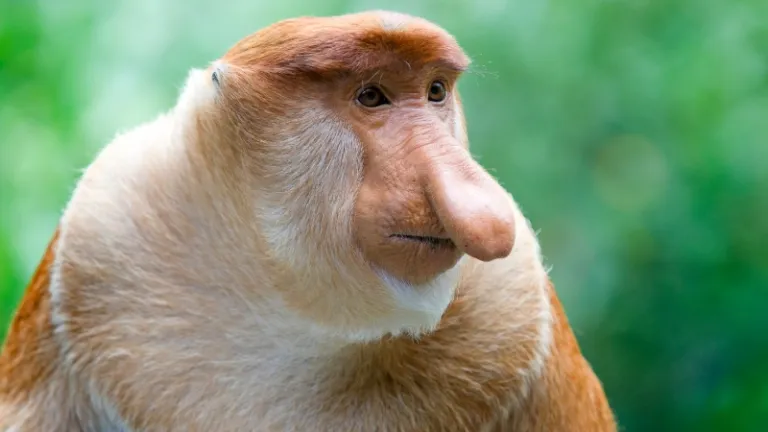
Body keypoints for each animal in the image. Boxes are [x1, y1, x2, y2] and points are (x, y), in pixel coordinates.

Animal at [0, 10, 616, 432]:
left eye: (436, 91)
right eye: (372, 96)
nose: (481, 206)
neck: (290, 305)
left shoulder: (515, 304)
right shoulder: (102, 231)